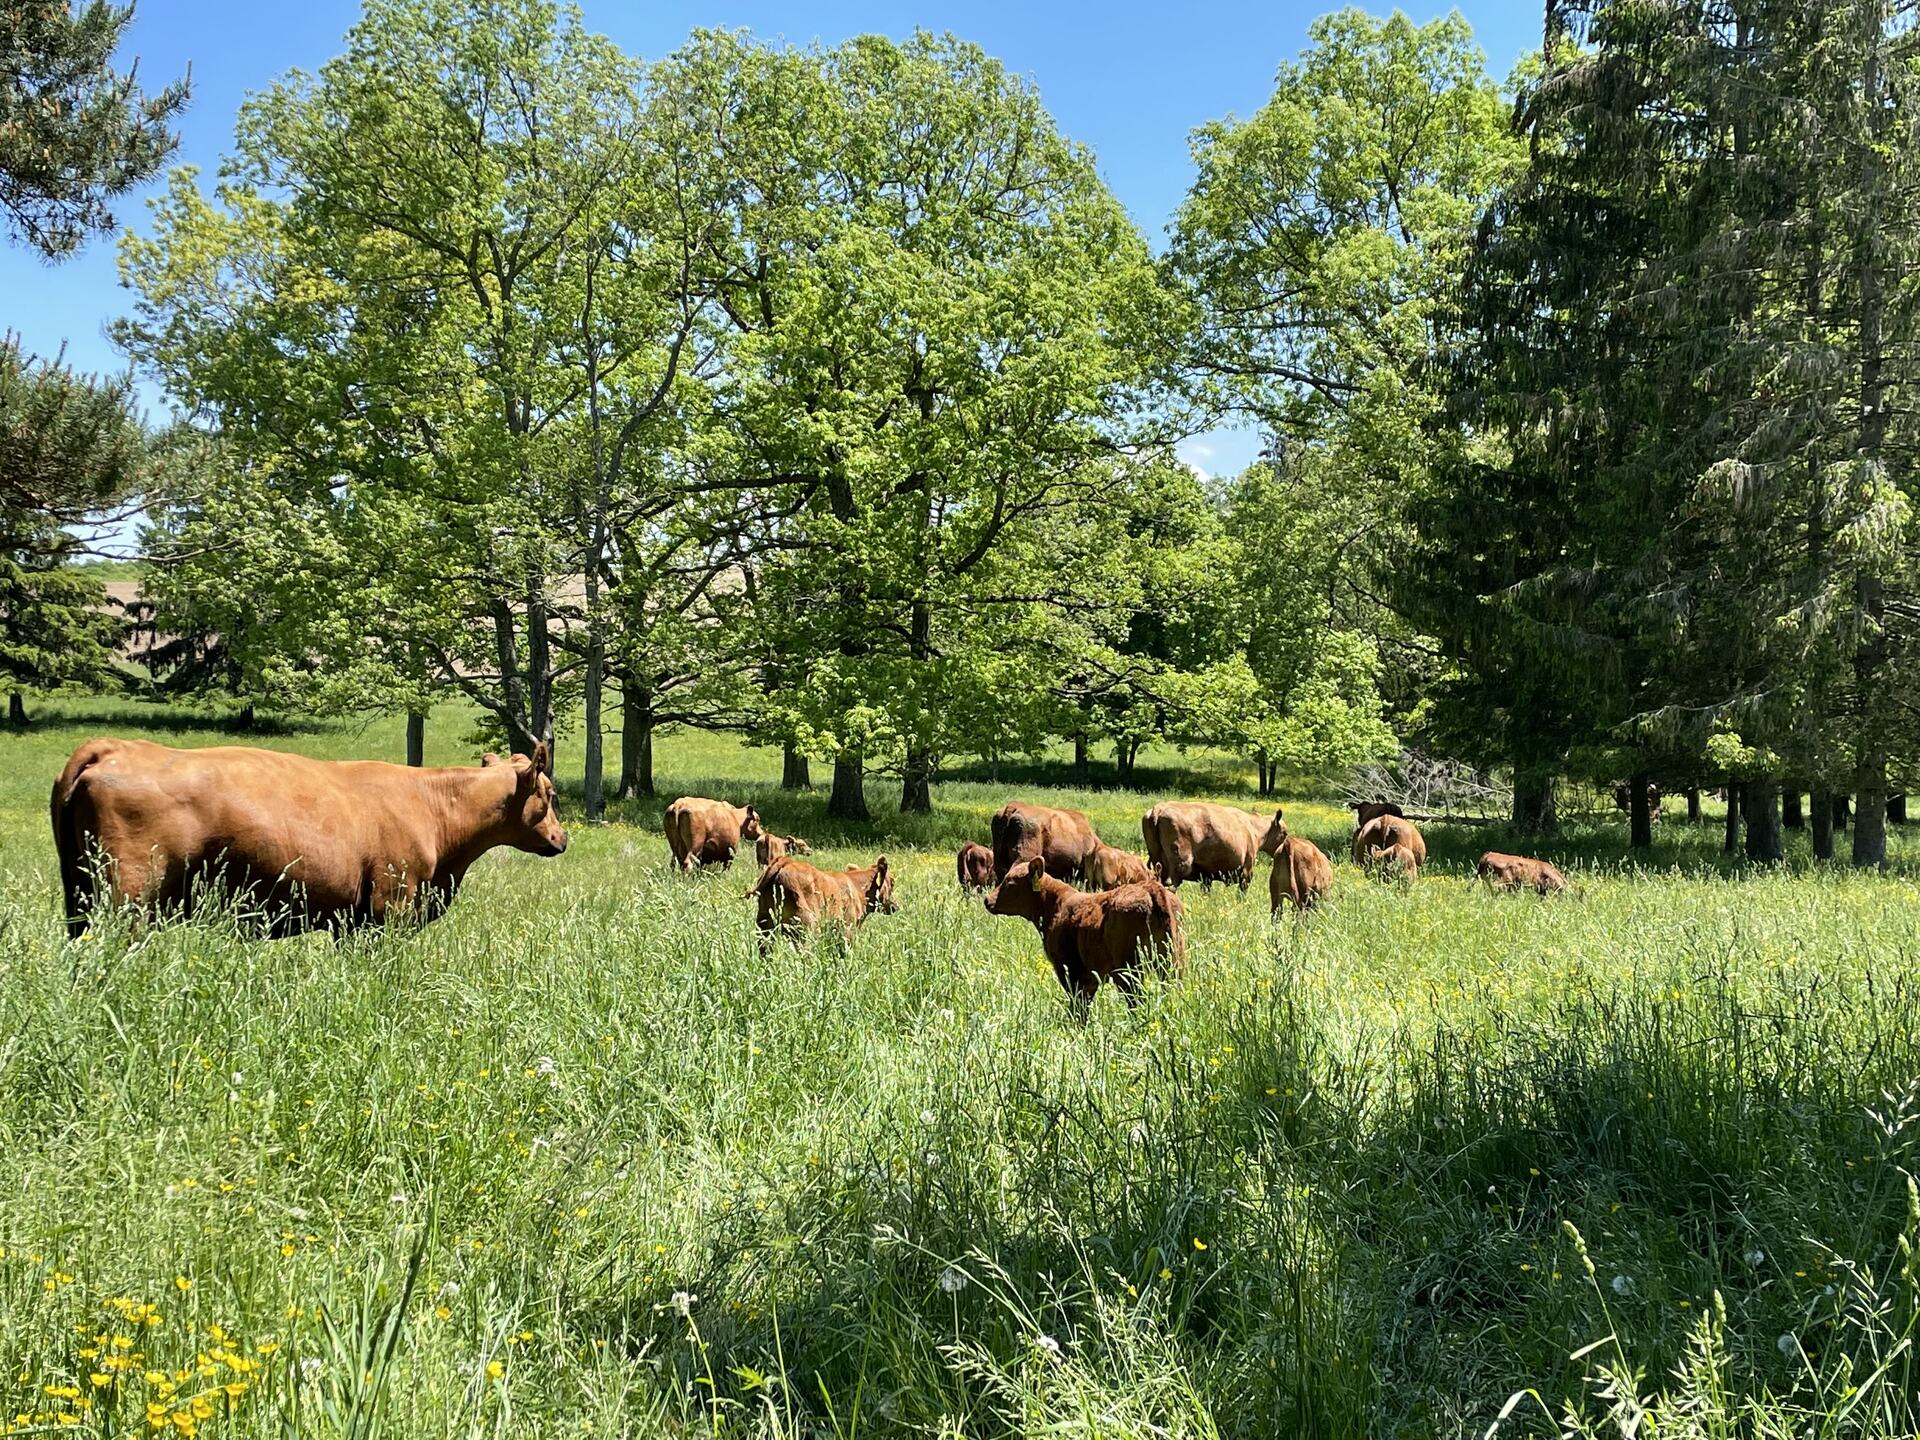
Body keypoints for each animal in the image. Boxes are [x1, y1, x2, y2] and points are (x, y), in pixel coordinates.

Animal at [49, 738, 566, 937]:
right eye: (551, 792)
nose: (562, 838)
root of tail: (115, 747)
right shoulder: (390, 906)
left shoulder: (351, 921)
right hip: (130, 896)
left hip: (80, 895)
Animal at [745, 854, 896, 944]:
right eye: (893, 883)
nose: (896, 906)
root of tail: (785, 861)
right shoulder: (848, 929)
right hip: (806, 928)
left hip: (765, 926)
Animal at [984, 857, 1184, 1018]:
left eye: (1010, 883)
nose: (987, 900)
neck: (1055, 905)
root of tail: (1151, 886)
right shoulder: (1090, 974)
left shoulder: (1067, 967)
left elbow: (1077, 1003)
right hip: (1173, 961)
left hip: (1128, 968)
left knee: (1136, 1000)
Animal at [1140, 801, 1272, 891]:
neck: (1252, 827)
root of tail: (1158, 809)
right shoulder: (1247, 870)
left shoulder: (1206, 876)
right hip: (1181, 864)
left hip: (1158, 862)